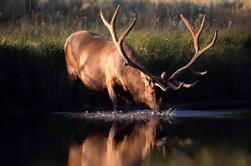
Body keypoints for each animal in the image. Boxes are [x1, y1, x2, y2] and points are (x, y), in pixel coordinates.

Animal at [64, 5, 218, 113]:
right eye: (152, 92)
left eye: (167, 96)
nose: (160, 110)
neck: (124, 74)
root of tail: (68, 38)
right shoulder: (109, 81)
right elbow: (116, 107)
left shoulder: (128, 94)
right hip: (71, 73)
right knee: (71, 96)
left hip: (89, 85)